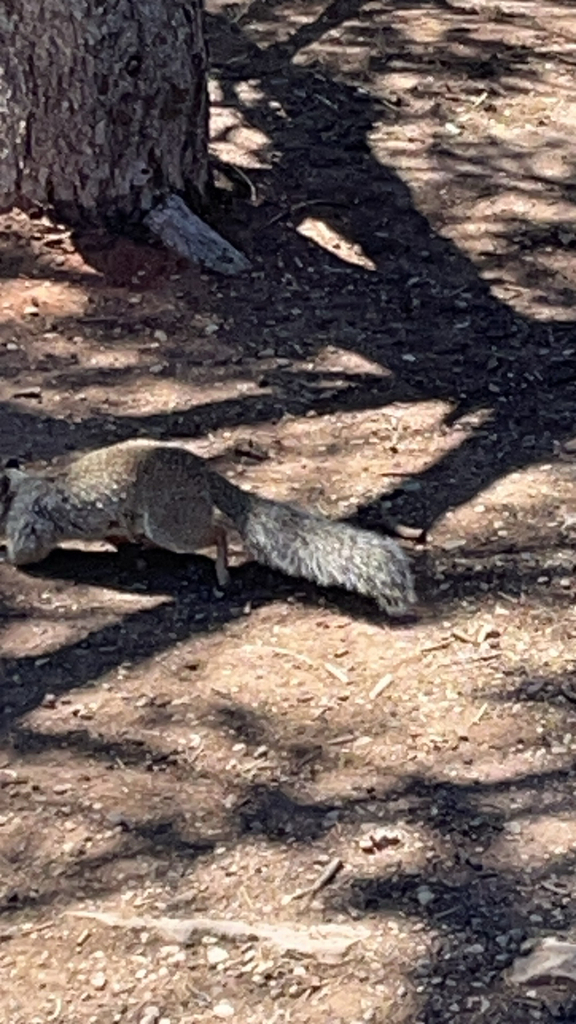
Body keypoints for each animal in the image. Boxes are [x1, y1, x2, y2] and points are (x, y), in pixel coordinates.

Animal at [0, 436, 414, 610]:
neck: (19, 488)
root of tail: (203, 473)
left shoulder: (29, 522)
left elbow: (26, 551)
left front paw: (5, 555)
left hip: (171, 524)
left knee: (218, 530)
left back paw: (222, 570)